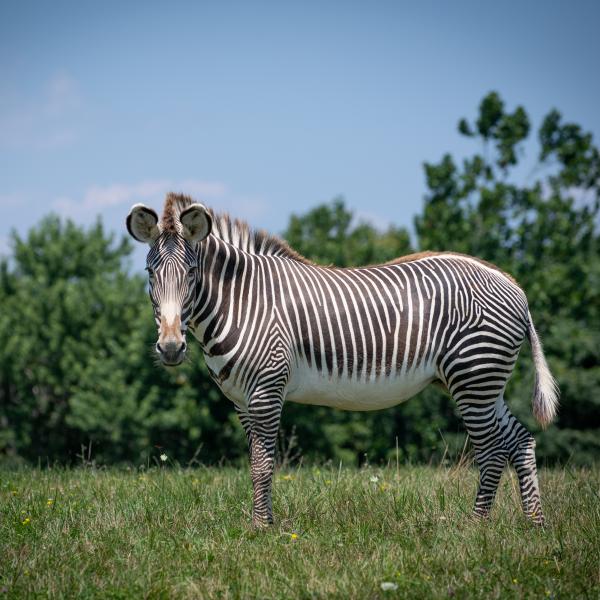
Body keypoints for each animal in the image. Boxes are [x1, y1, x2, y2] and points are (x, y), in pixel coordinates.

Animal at [125, 192, 556, 524]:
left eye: (191, 272)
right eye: (149, 273)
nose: (170, 348)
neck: (241, 301)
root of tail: (512, 284)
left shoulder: (266, 390)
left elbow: (263, 465)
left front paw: (260, 530)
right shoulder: (242, 401)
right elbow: (255, 464)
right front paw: (263, 523)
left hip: (474, 375)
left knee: (491, 450)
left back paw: (476, 526)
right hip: (485, 383)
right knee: (518, 440)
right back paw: (533, 523)